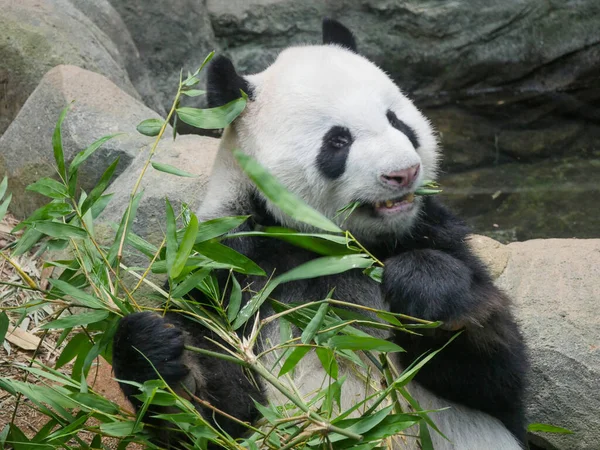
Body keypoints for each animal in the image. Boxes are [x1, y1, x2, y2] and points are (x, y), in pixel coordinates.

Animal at [111, 18, 524, 450]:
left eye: (397, 121)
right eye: (338, 140)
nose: (404, 173)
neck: (328, 248)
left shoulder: (431, 232)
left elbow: (496, 379)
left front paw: (424, 283)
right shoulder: (221, 266)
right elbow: (217, 415)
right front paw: (151, 348)